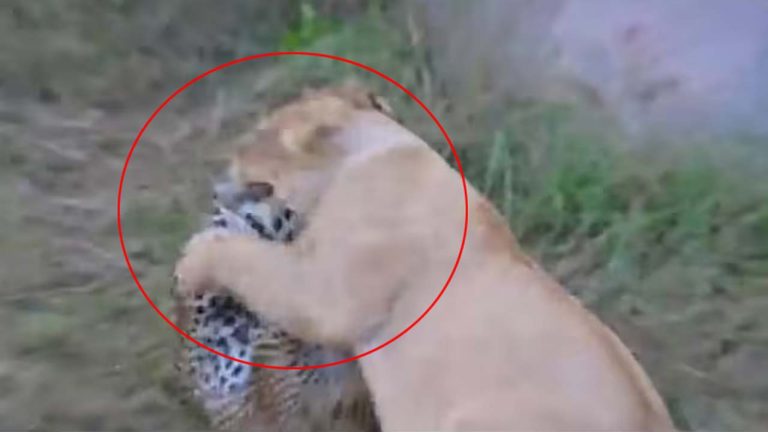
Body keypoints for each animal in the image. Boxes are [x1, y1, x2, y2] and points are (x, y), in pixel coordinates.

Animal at [174, 84, 676, 431]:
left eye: (253, 141)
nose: (218, 177)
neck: (370, 152)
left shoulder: (325, 293)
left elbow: (249, 260)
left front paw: (192, 261)